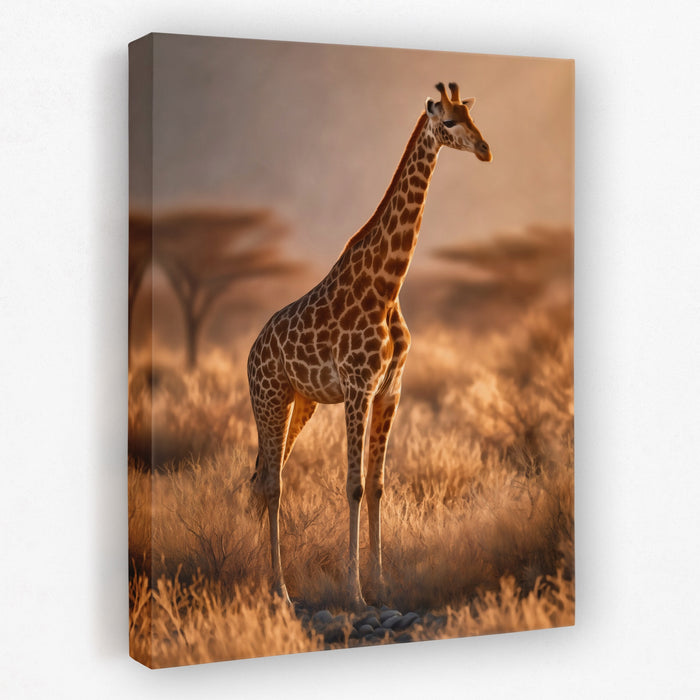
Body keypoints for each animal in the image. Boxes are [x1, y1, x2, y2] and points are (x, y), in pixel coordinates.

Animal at [247, 82, 492, 608]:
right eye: (448, 122)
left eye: (471, 116)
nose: (485, 149)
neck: (388, 285)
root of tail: (251, 353)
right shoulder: (358, 388)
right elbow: (354, 486)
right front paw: (355, 593)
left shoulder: (389, 390)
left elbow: (378, 485)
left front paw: (381, 586)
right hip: (268, 400)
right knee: (272, 483)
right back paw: (279, 589)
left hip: (300, 403)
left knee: (262, 477)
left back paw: (264, 580)